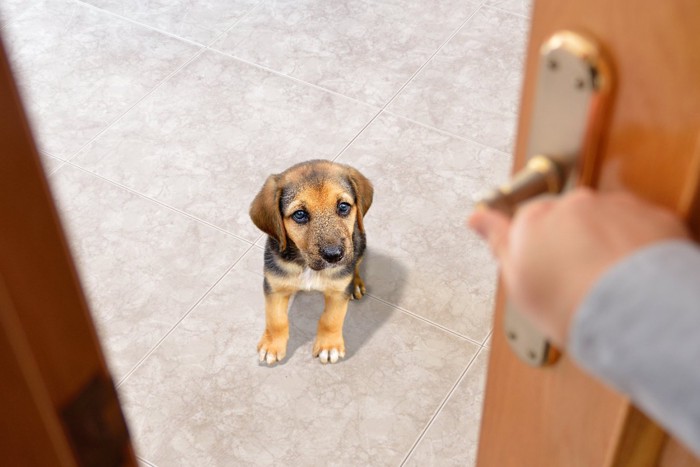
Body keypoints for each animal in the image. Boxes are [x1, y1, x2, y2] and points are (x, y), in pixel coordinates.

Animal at [250, 160, 374, 366]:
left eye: (343, 206)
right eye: (299, 214)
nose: (334, 255)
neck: (307, 265)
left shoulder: (338, 290)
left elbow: (331, 319)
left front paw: (329, 346)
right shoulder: (274, 286)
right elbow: (276, 319)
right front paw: (272, 345)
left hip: (360, 242)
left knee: (356, 263)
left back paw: (355, 283)